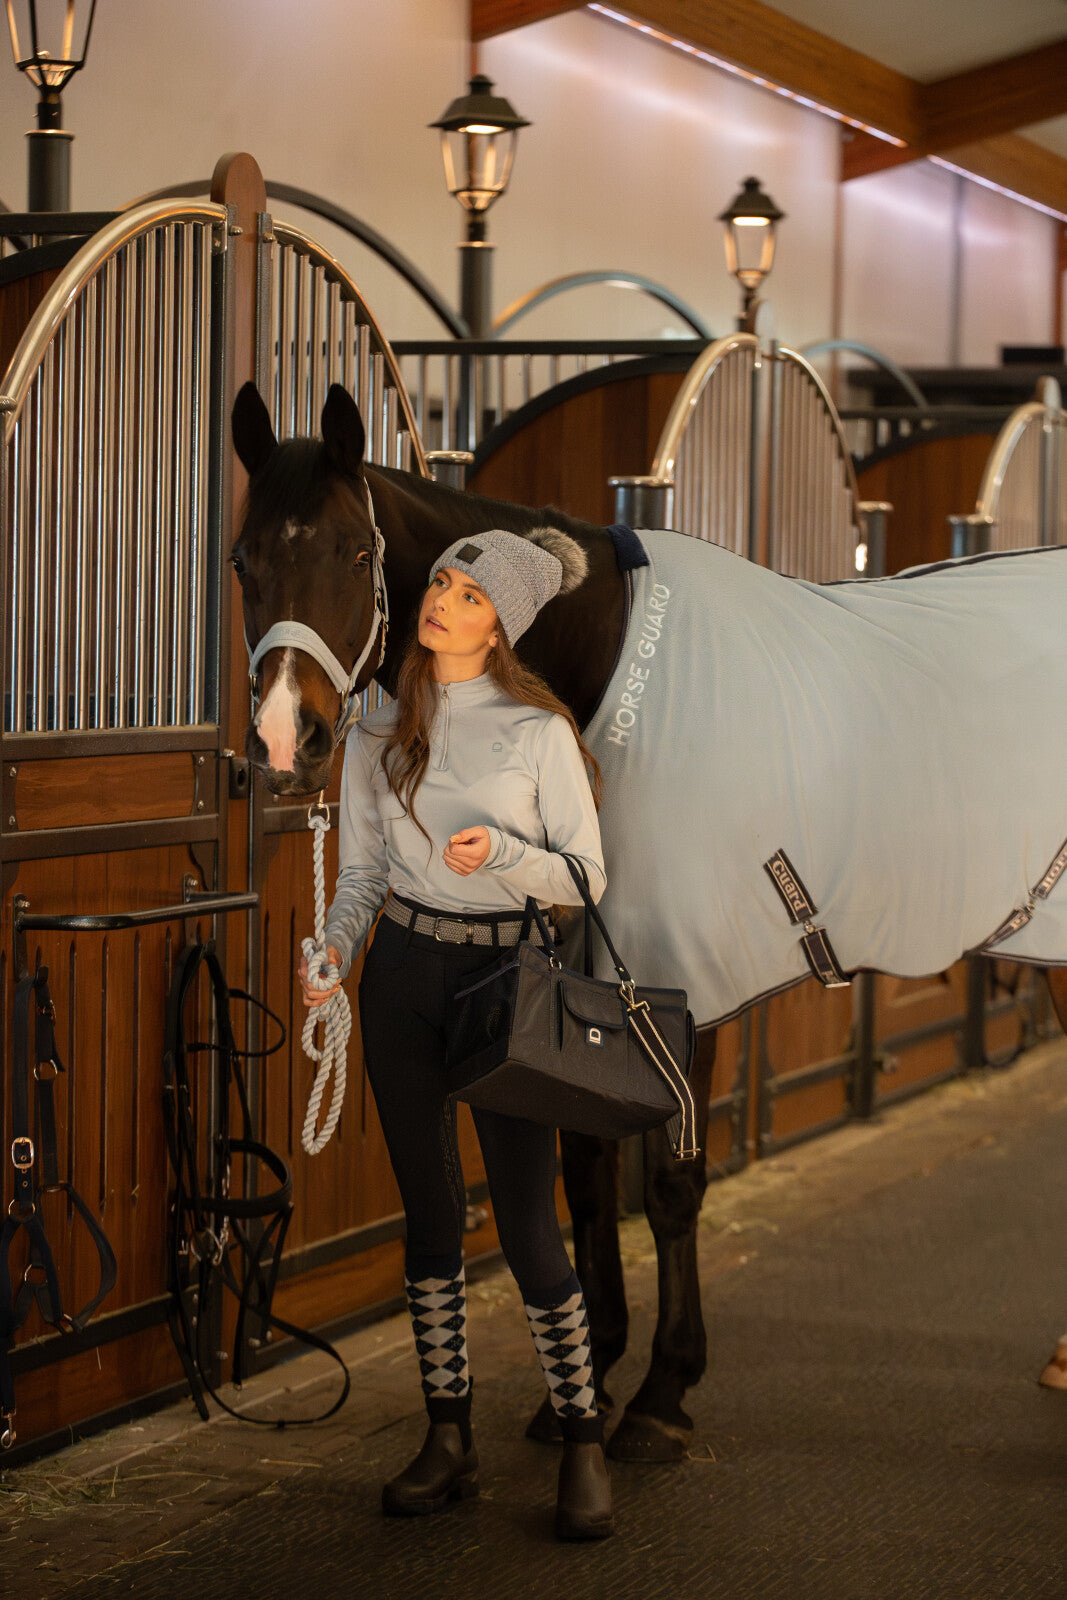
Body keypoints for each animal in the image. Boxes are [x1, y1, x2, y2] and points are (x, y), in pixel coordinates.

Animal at [231, 380, 1067, 1458]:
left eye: (352, 553)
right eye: (242, 561)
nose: (284, 742)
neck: (598, 671)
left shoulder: (680, 972)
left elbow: (669, 1184)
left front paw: (662, 1393)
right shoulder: (580, 960)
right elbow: (586, 1165)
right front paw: (581, 1380)